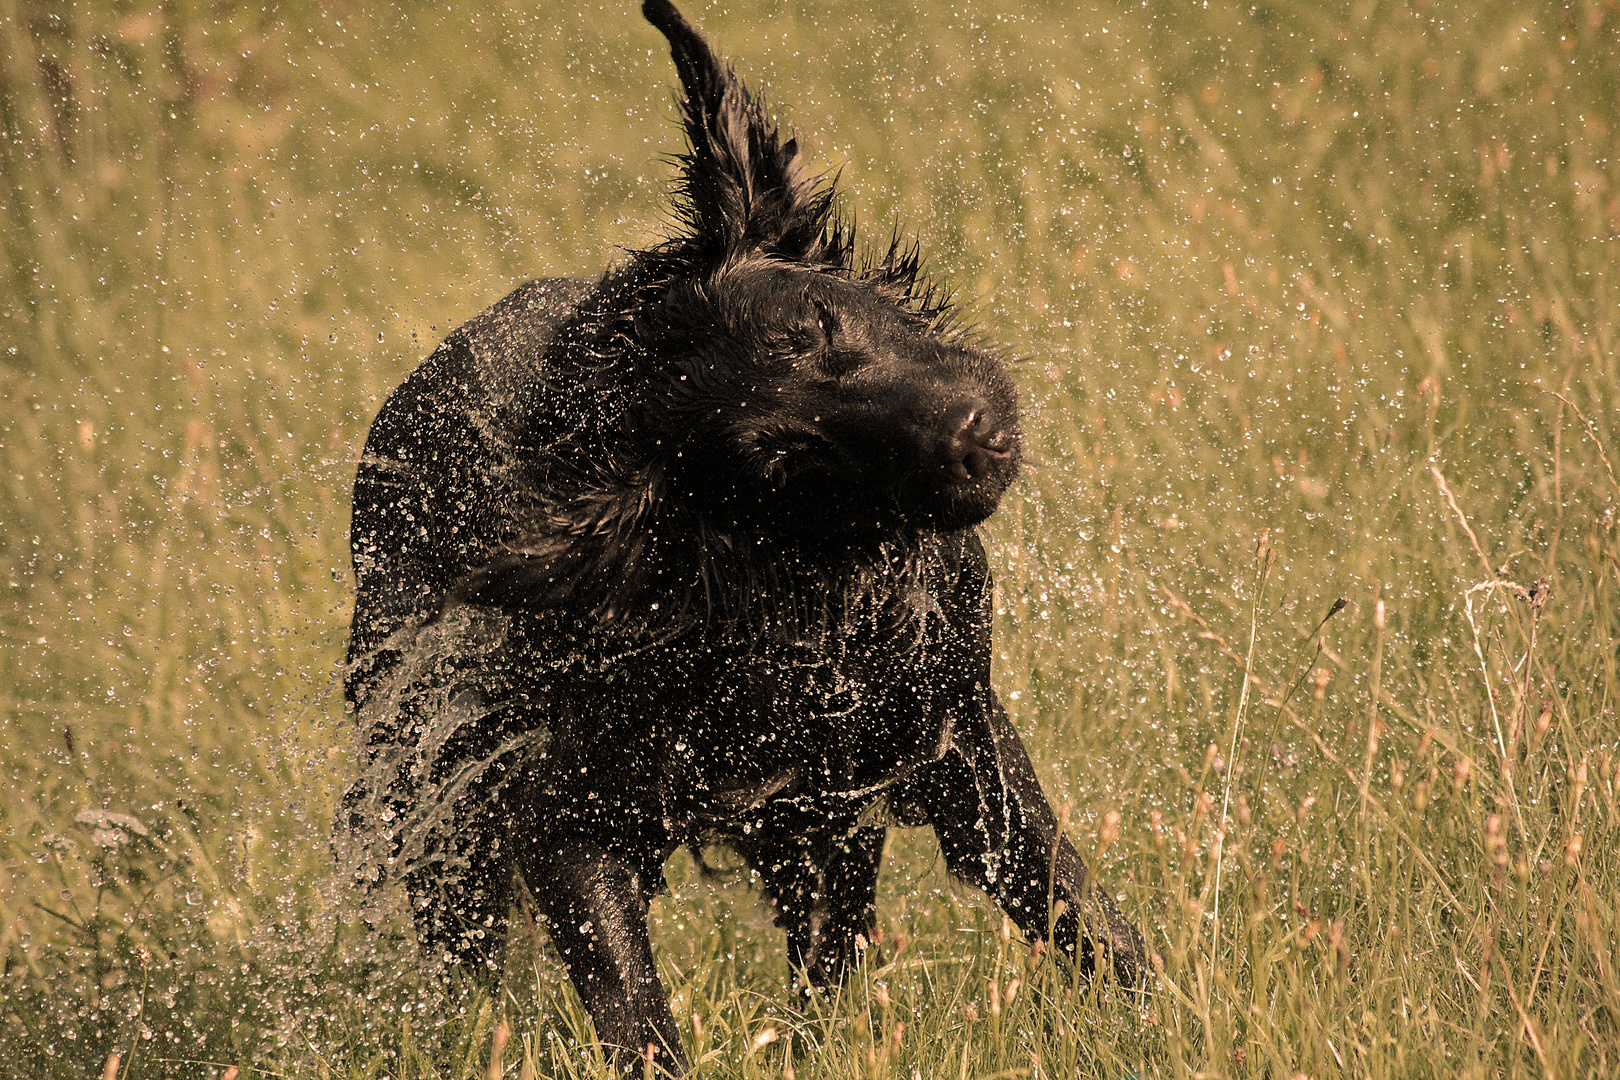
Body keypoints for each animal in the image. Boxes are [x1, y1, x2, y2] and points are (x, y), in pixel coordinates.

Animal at [341, 0, 1146, 1075]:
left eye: (826, 317)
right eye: (788, 463)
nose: (974, 437)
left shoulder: (934, 744)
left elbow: (1065, 900)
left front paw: (1162, 1012)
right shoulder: (565, 824)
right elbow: (635, 1014)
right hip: (433, 800)